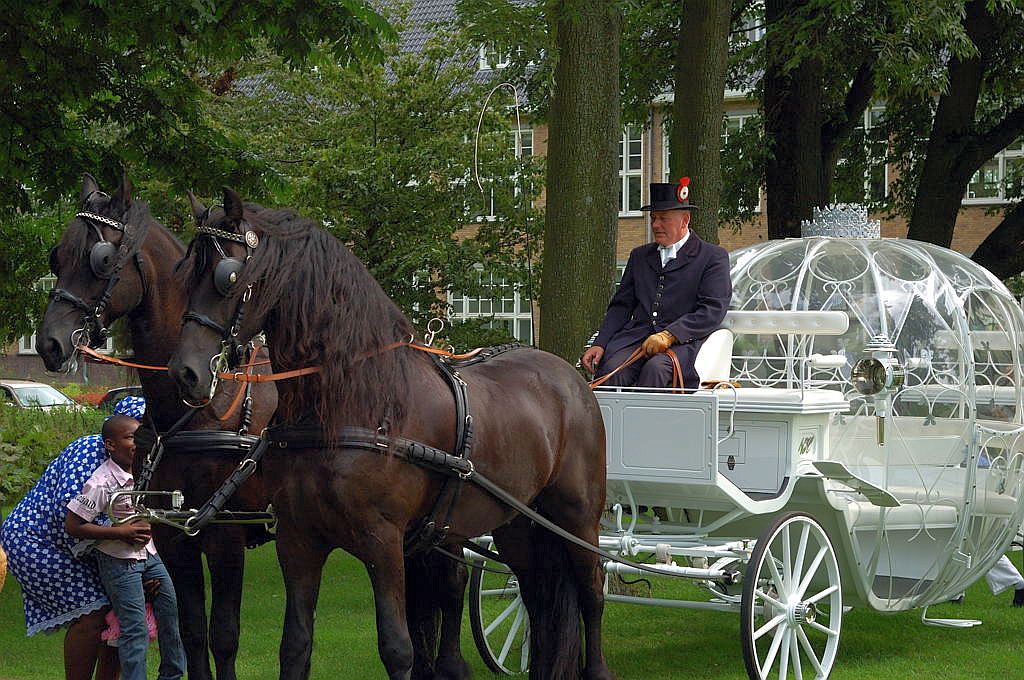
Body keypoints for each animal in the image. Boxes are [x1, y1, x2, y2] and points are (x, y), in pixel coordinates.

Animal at [37, 174, 278, 680]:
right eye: (56, 256)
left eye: (102, 259)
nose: (49, 343)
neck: (199, 405)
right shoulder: (172, 535)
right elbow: (191, 632)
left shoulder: (225, 534)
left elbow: (224, 636)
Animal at [169, 187, 614, 680]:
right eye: (185, 275)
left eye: (228, 275)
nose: (185, 373)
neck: (345, 406)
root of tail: (570, 375)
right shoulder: (298, 540)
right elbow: (296, 646)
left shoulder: (383, 542)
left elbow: (398, 648)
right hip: (518, 522)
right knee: (536, 597)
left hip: (576, 515)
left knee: (592, 593)